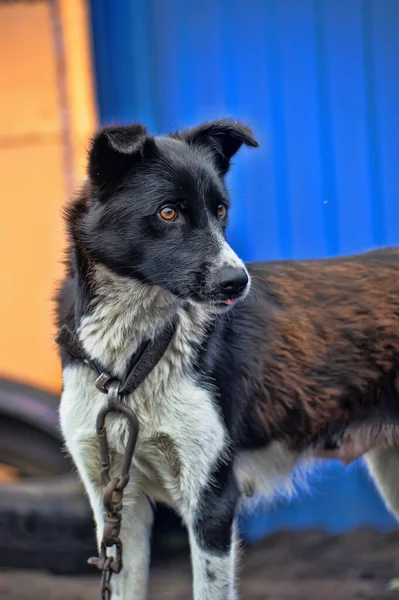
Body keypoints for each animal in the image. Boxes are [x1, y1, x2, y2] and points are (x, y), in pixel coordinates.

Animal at [57, 119, 399, 596]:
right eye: (168, 213)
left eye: (220, 211)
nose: (238, 282)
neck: (134, 359)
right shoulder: (117, 505)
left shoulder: (212, 498)